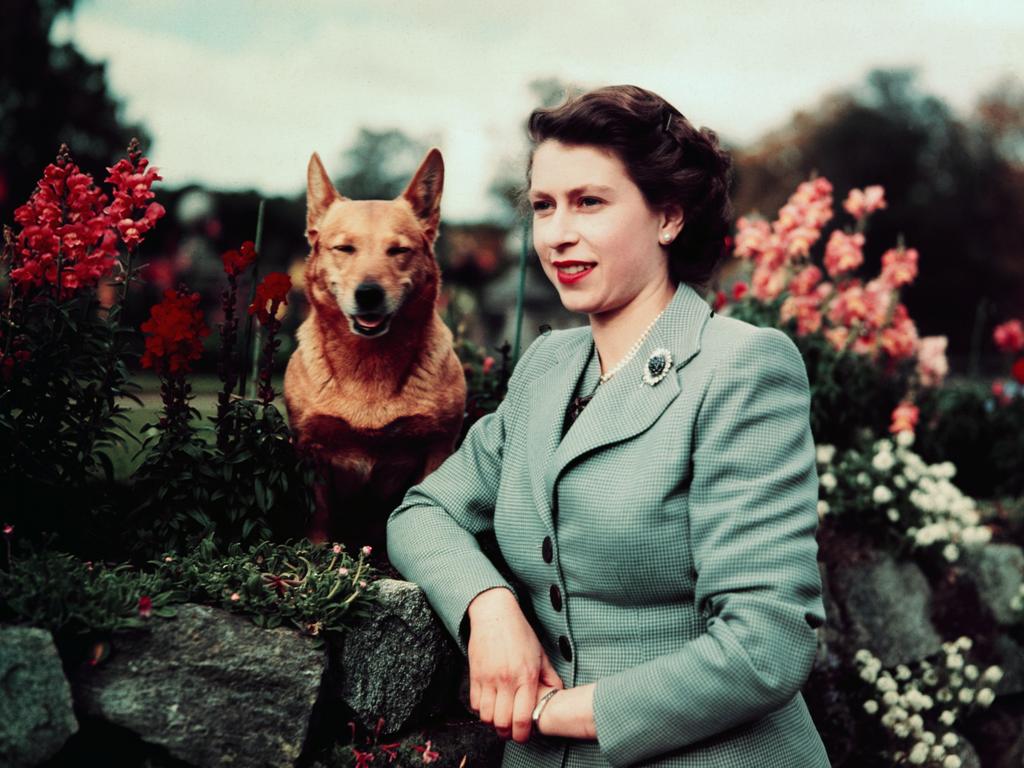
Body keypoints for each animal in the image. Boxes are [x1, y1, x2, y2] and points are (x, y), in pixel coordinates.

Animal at [284, 151, 468, 561]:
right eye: (344, 249)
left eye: (398, 250)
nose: (368, 293)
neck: (369, 365)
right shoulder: (311, 449)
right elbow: (318, 514)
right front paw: (317, 556)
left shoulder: (438, 447)